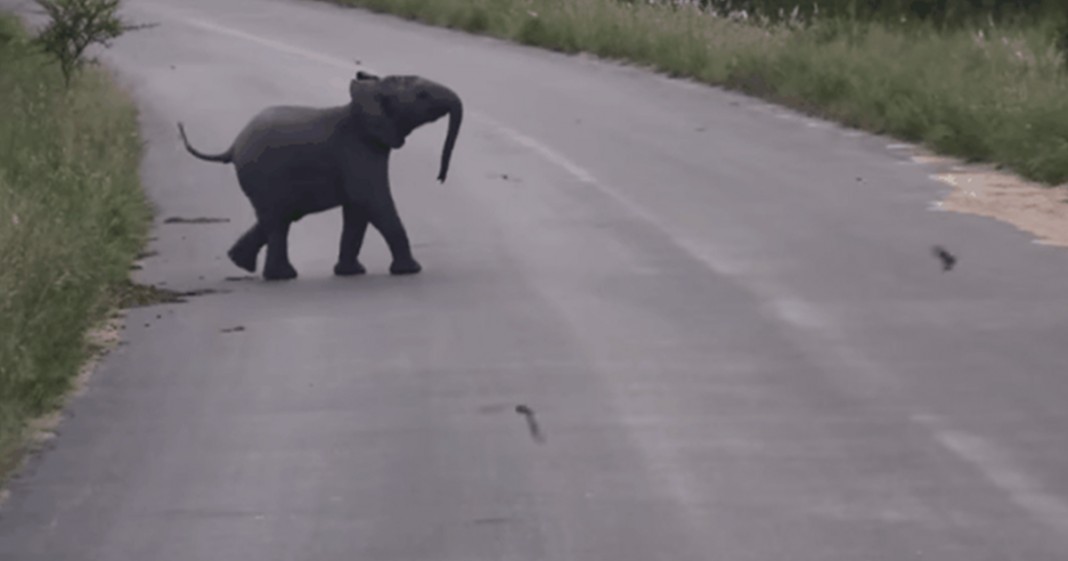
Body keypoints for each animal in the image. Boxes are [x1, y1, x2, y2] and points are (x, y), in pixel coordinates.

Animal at [175, 69, 463, 279]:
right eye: (423, 95)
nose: (440, 177)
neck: (364, 100)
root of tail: (233, 146)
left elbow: (357, 210)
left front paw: (351, 273)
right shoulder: (357, 150)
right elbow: (371, 200)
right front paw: (410, 271)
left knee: (278, 218)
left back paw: (240, 264)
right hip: (263, 176)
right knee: (277, 221)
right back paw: (282, 276)